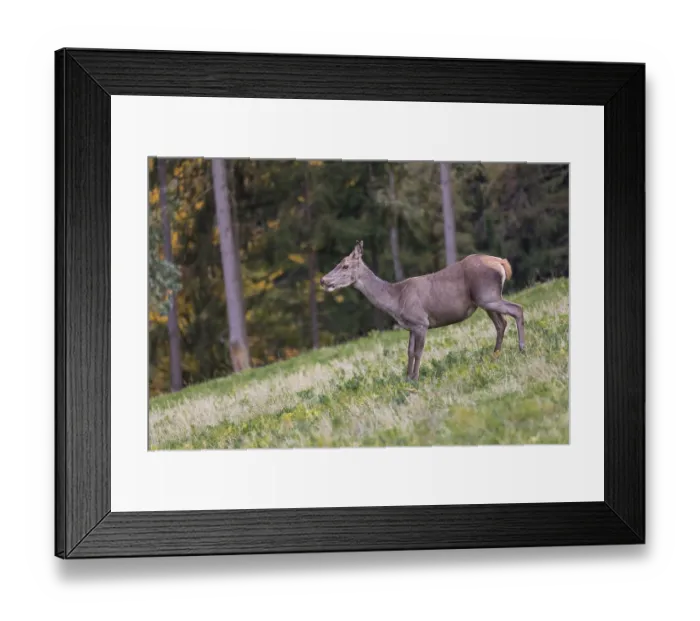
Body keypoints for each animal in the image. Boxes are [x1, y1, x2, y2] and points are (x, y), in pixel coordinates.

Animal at [320, 240, 525, 382]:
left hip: (487, 296)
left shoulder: (421, 322)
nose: (323, 280)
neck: (396, 299)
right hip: (485, 300)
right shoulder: (411, 326)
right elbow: (409, 352)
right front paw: (407, 378)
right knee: (501, 323)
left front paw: (416, 378)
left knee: (517, 309)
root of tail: (501, 262)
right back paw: (495, 355)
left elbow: (418, 352)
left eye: (345, 265)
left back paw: (521, 349)